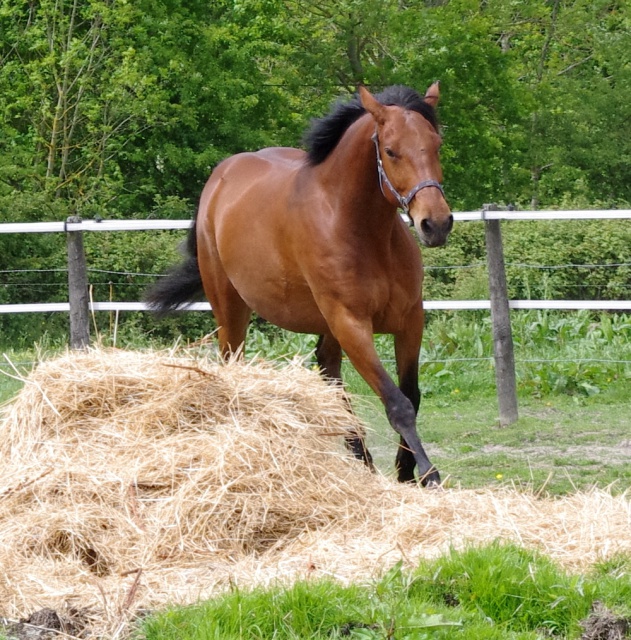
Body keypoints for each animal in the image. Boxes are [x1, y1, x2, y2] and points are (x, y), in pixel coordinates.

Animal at [147, 84, 454, 484]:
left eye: (436, 145)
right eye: (390, 151)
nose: (436, 224)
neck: (362, 229)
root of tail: (220, 178)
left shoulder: (409, 321)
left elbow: (411, 395)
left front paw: (405, 473)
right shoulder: (351, 323)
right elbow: (397, 403)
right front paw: (429, 475)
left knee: (328, 371)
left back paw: (361, 458)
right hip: (230, 309)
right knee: (235, 362)